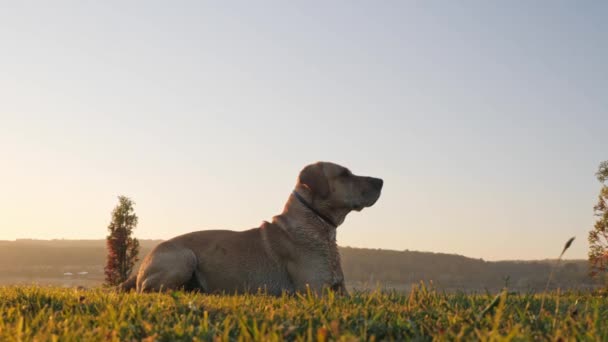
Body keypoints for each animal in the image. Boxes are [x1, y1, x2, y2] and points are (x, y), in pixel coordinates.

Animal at [119, 162, 382, 296]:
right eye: (344, 173)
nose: (381, 181)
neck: (318, 226)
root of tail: (141, 266)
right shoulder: (314, 290)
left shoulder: (341, 290)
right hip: (184, 257)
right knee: (147, 290)